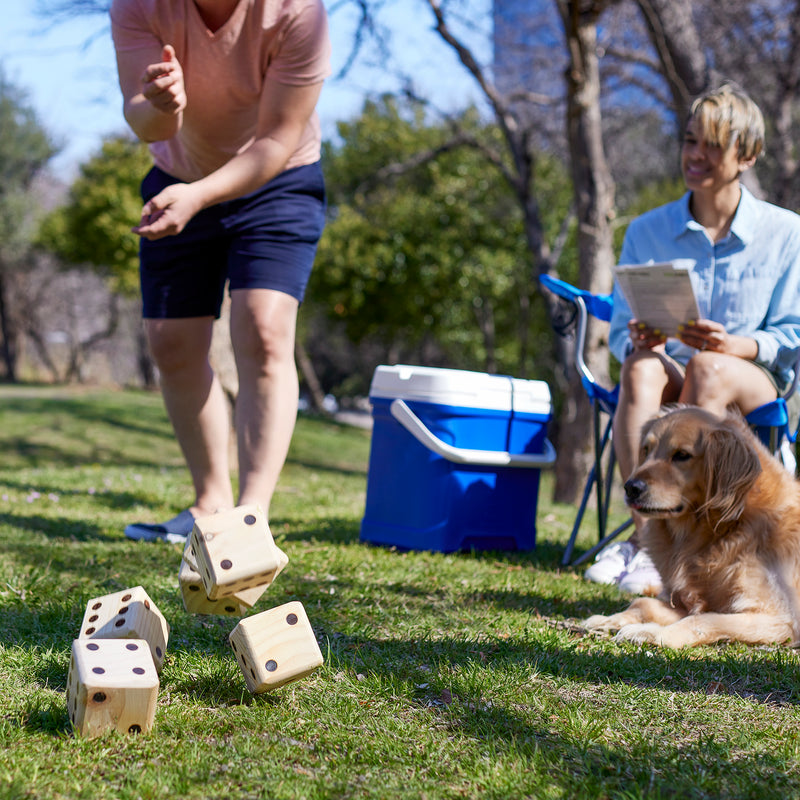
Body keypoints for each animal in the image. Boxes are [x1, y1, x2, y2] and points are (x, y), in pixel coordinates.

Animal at [580, 406, 800, 648]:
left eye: (682, 455)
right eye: (646, 450)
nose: (631, 488)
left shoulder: (780, 617)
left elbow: (702, 620)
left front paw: (654, 633)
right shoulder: (688, 600)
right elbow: (643, 603)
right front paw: (609, 619)